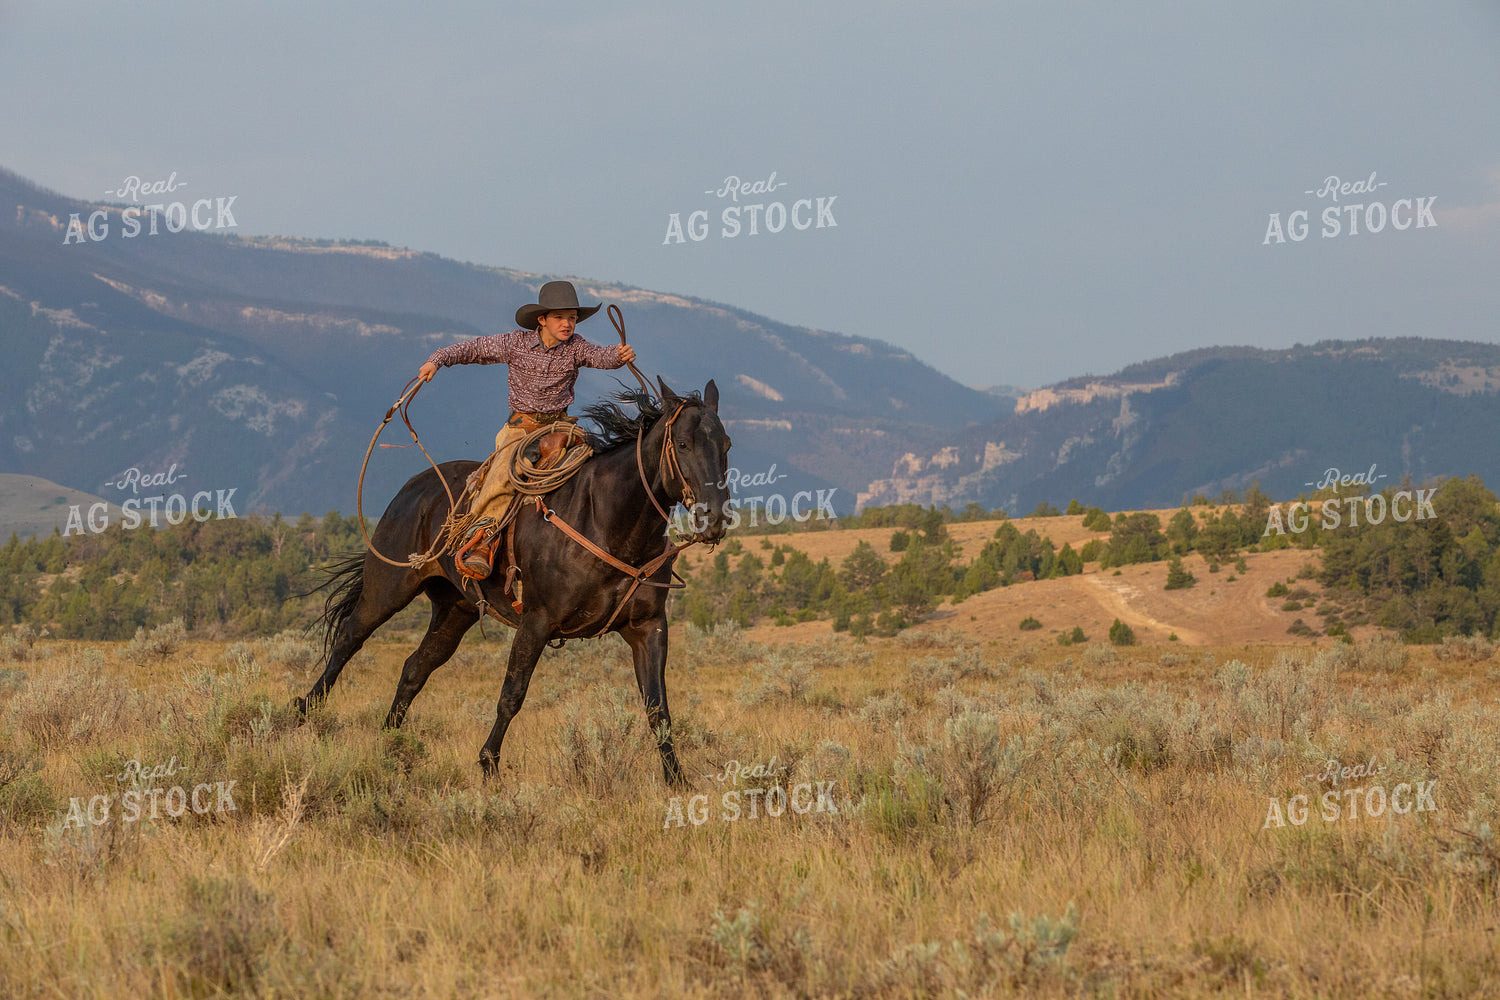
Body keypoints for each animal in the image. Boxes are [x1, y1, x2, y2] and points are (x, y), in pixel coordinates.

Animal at [295, 378, 732, 784]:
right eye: (683, 443)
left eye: (725, 444)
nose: (713, 518)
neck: (606, 520)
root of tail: (414, 489)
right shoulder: (536, 622)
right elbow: (512, 694)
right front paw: (489, 764)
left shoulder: (648, 627)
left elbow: (658, 709)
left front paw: (676, 779)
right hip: (389, 586)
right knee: (350, 638)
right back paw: (304, 711)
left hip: (455, 610)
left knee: (415, 667)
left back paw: (390, 741)